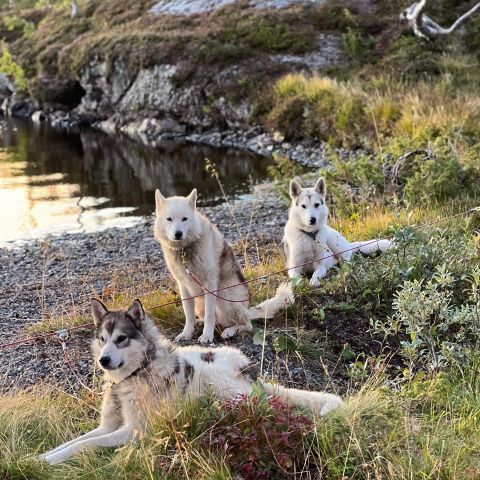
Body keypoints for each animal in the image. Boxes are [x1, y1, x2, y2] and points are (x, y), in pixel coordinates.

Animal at [40, 300, 342, 464]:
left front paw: (50, 460)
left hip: (218, 387)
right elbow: (73, 442)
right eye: (102, 339)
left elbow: (83, 445)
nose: (103, 360)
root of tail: (247, 367)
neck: (133, 375)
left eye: (121, 339)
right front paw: (42, 457)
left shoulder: (133, 432)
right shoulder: (108, 426)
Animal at [154, 188, 292, 344]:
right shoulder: (183, 286)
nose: (178, 234)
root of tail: (248, 308)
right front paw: (187, 333)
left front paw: (207, 336)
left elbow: (210, 316)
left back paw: (230, 331)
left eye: (184, 219)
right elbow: (188, 315)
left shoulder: (209, 284)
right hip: (202, 304)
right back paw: (200, 323)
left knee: (246, 323)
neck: (184, 250)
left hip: (224, 299)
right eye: (169, 219)